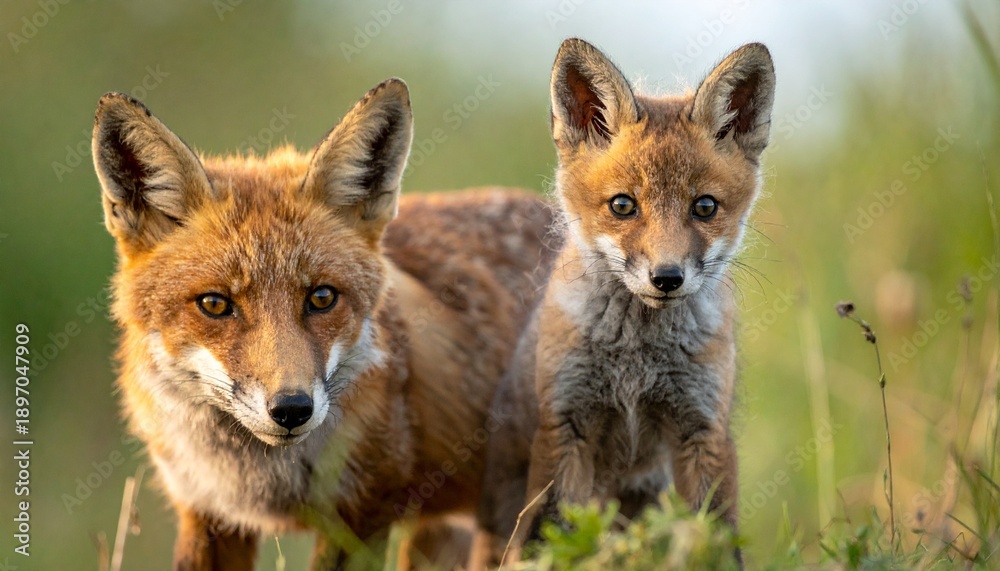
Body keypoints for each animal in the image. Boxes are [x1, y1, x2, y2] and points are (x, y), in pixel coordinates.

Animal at [92, 78, 556, 569]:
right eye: (215, 304)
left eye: (321, 298)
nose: (292, 409)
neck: (260, 479)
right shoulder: (207, 513)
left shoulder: (363, 511)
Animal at [473, 38, 775, 566]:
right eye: (622, 205)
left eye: (705, 207)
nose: (667, 278)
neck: (638, 359)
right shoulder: (565, 424)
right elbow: (549, 538)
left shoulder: (702, 428)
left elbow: (717, 539)